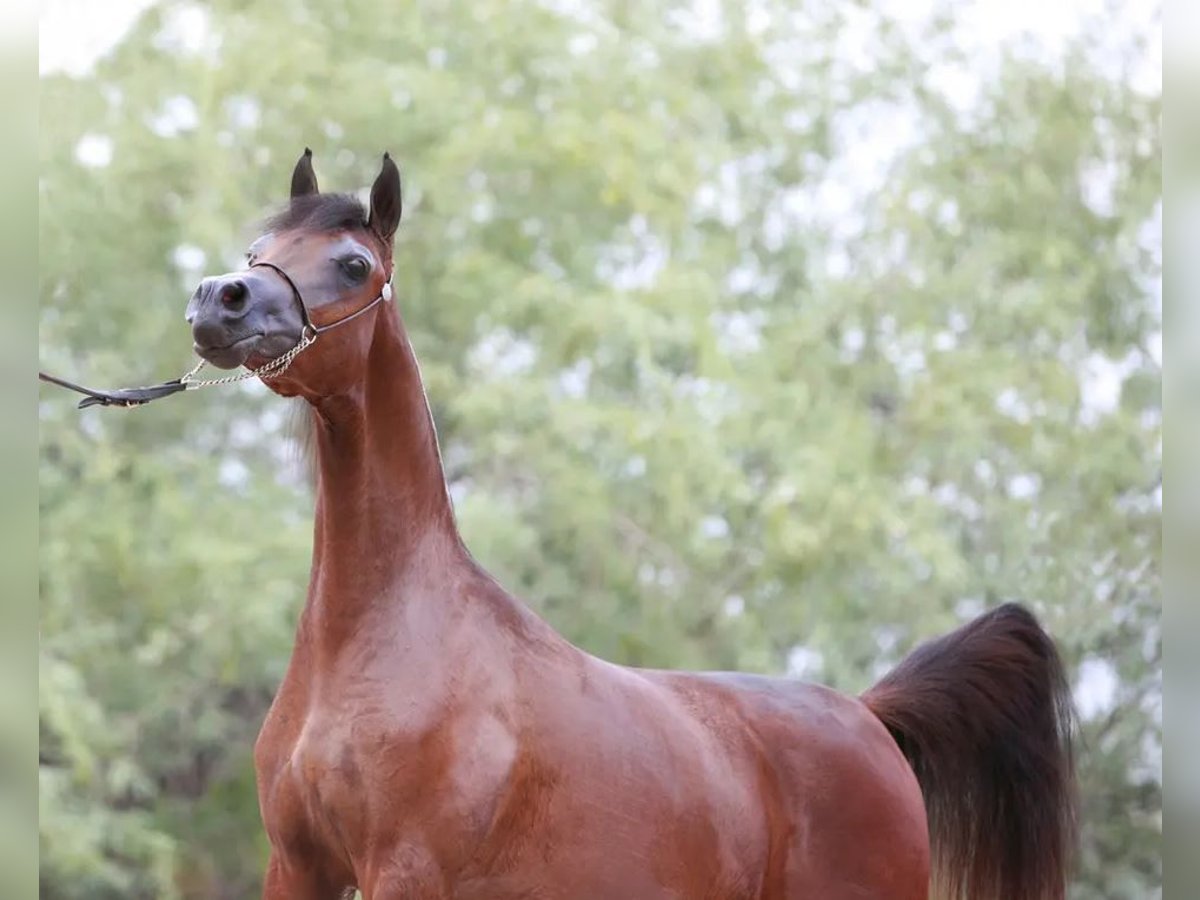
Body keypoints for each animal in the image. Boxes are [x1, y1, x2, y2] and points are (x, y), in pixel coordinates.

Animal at [189, 151, 1080, 897]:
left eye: (353, 264)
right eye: (260, 247)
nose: (219, 299)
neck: (384, 634)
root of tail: (868, 715)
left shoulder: (405, 871)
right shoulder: (298, 866)